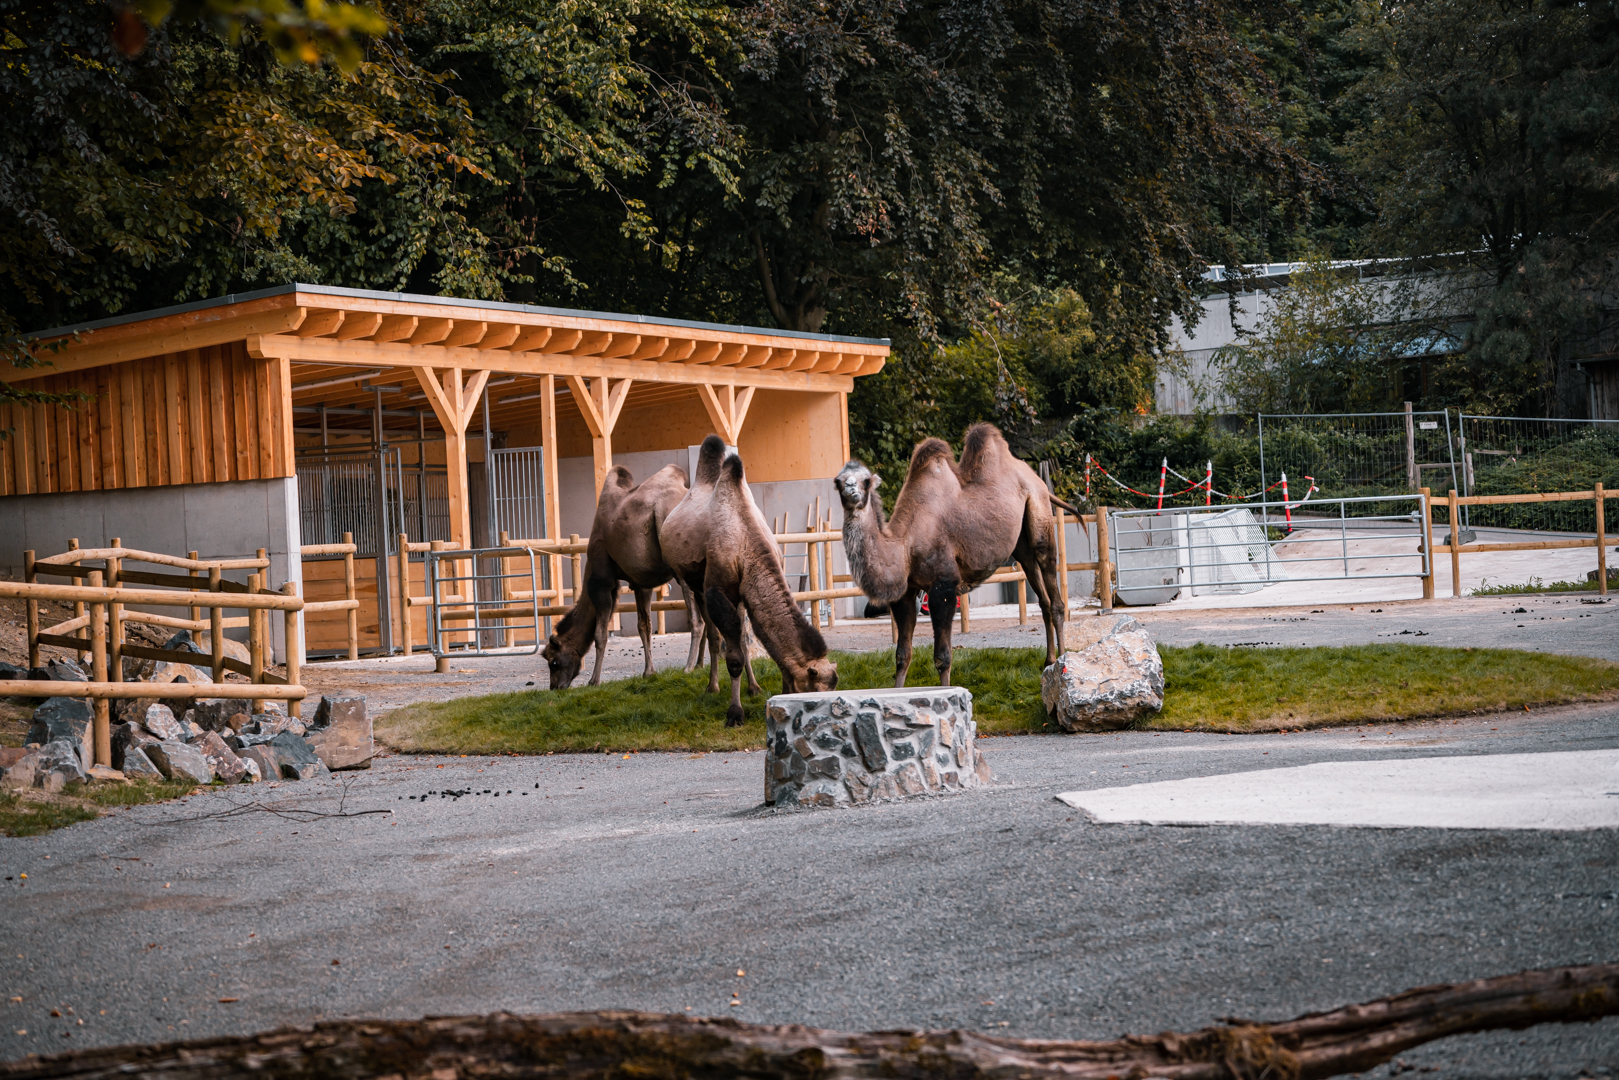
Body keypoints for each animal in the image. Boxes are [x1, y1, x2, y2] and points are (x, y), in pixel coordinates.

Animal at [541, 464, 706, 689]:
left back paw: (688, 667)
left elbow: (600, 634)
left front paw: (594, 681)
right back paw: (700, 665)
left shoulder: (602, 581)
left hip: (682, 569)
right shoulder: (641, 582)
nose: (555, 687)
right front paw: (649, 672)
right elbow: (644, 626)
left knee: (698, 620)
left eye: (554, 662)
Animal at [662, 435, 838, 725]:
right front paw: (735, 713)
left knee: (742, 637)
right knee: (712, 634)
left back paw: (753, 687)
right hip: (694, 585)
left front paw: (763, 692)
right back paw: (712, 686)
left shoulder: (750, 592)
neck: (747, 543)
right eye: (815, 692)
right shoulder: (717, 589)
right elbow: (733, 657)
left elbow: (756, 640)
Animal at [835, 422, 1077, 687]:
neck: (905, 544)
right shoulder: (905, 593)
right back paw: (1048, 661)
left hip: (1039, 511)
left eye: (866, 480)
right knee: (1040, 591)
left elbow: (942, 657)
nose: (851, 489)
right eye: (838, 481)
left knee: (1053, 588)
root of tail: (1037, 479)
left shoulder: (944, 586)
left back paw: (1061, 662)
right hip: (1021, 544)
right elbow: (902, 656)